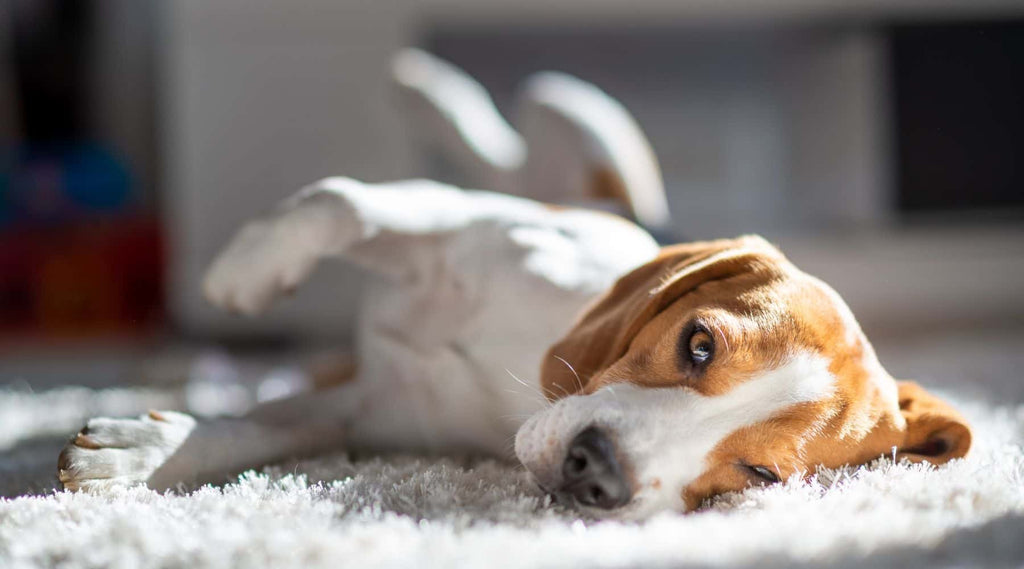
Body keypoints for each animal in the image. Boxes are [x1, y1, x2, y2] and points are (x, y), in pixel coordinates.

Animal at [56, 51, 966, 517]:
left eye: (762, 475)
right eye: (698, 342)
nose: (596, 474)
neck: (522, 371)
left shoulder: (367, 411)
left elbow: (264, 431)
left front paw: (140, 454)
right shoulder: (461, 220)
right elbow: (341, 200)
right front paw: (244, 271)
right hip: (572, 127)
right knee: (510, 136)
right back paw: (428, 87)